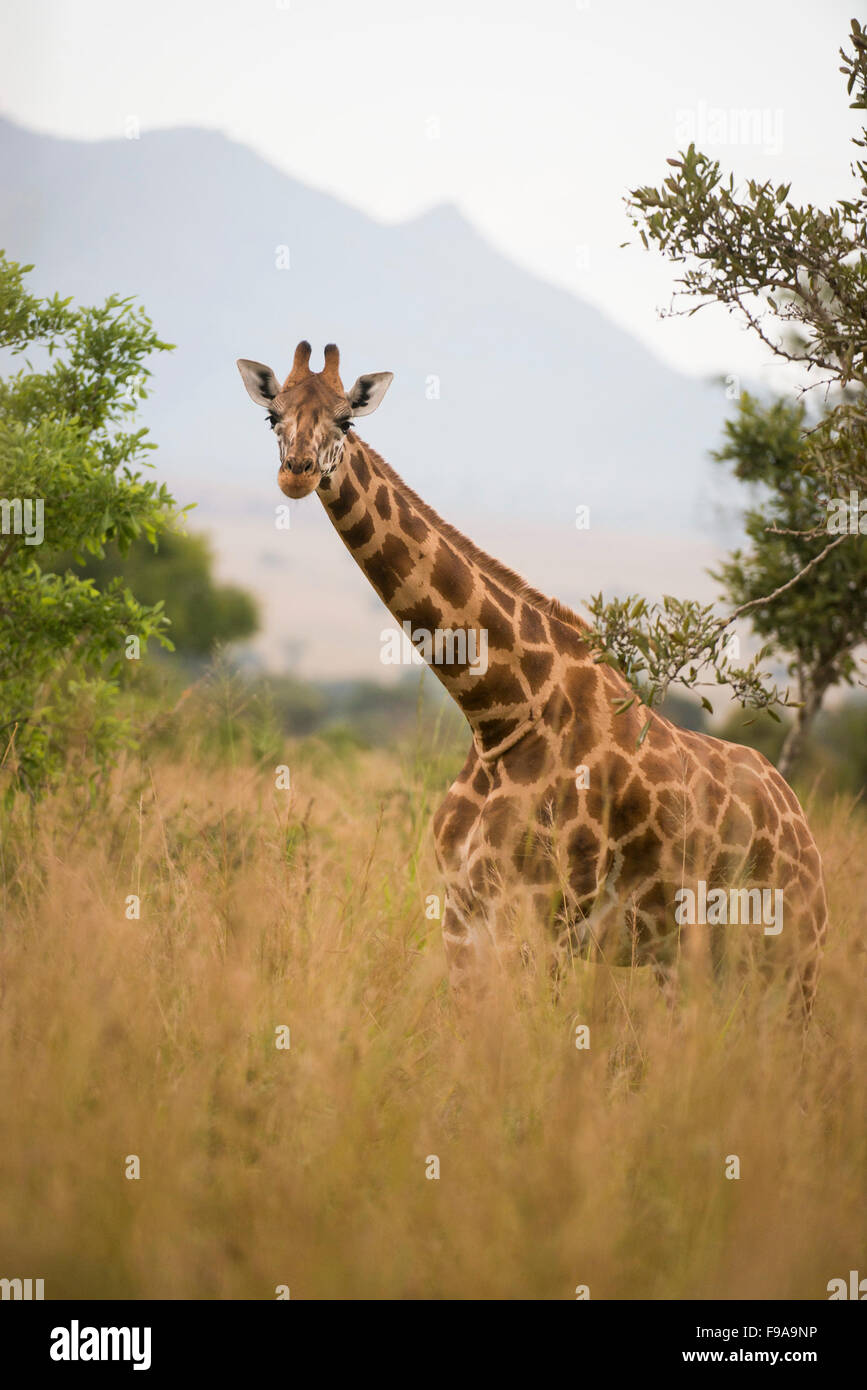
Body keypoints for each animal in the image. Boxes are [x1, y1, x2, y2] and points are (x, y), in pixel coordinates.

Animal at [234, 341, 828, 1017]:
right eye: (272, 416)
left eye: (346, 421)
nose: (298, 472)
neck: (499, 714)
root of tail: (801, 818)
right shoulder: (464, 915)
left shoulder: (546, 918)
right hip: (686, 957)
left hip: (793, 953)